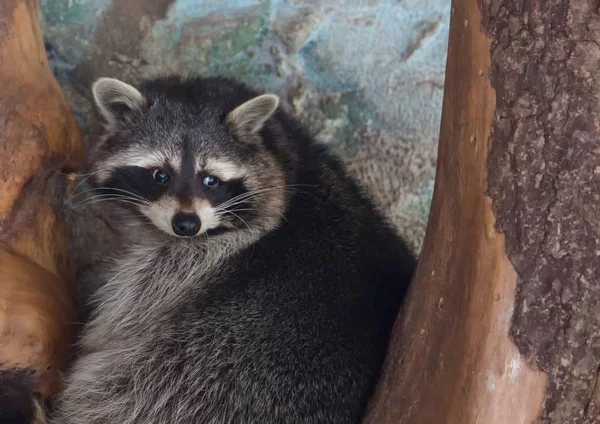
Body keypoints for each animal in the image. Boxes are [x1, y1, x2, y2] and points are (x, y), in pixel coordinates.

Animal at [51, 76, 414, 424]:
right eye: (159, 175)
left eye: (211, 180)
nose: (186, 224)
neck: (287, 159)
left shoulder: (183, 268)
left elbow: (117, 327)